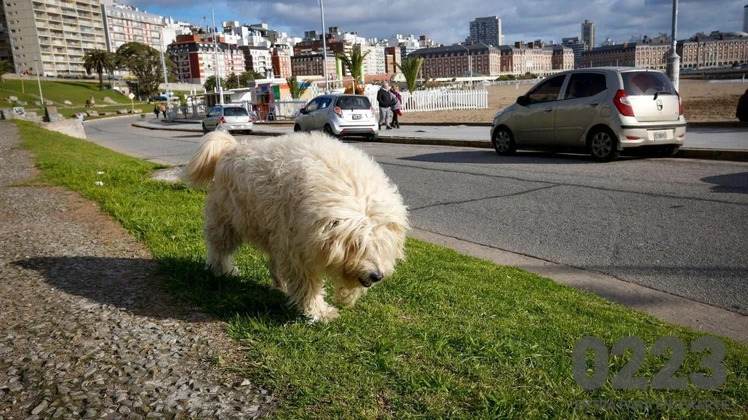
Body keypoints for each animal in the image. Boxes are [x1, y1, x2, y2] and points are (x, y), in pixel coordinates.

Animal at [185, 131, 412, 322]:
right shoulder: (298, 248)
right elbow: (307, 284)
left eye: (380, 246)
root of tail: (231, 148)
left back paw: (281, 285)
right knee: (219, 249)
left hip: (274, 230)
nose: (377, 276)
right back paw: (222, 270)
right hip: (228, 221)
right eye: (357, 245)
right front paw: (318, 311)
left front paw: (347, 296)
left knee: (274, 263)